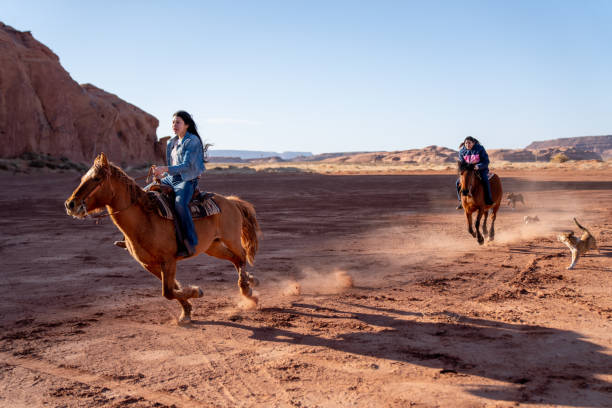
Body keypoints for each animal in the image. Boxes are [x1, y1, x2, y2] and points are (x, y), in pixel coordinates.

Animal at [65, 153, 260, 326]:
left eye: (97, 178)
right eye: (83, 178)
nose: (70, 204)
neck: (145, 220)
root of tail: (230, 201)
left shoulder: (169, 261)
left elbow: (168, 291)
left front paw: (196, 292)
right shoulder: (149, 264)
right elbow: (172, 288)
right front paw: (187, 311)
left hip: (231, 238)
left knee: (241, 256)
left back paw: (247, 289)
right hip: (213, 246)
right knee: (235, 259)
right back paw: (250, 284)